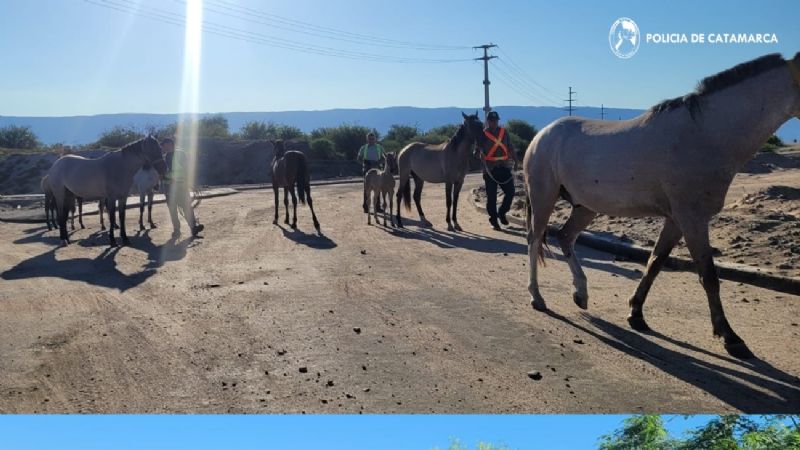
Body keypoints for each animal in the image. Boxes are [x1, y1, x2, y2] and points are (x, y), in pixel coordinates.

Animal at [523, 52, 800, 359]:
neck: (705, 133)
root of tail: (541, 136)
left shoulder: (676, 220)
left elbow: (654, 263)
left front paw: (636, 314)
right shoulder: (692, 218)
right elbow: (708, 276)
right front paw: (730, 336)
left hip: (585, 207)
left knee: (565, 237)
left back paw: (581, 293)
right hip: (543, 198)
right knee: (534, 241)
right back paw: (537, 297)